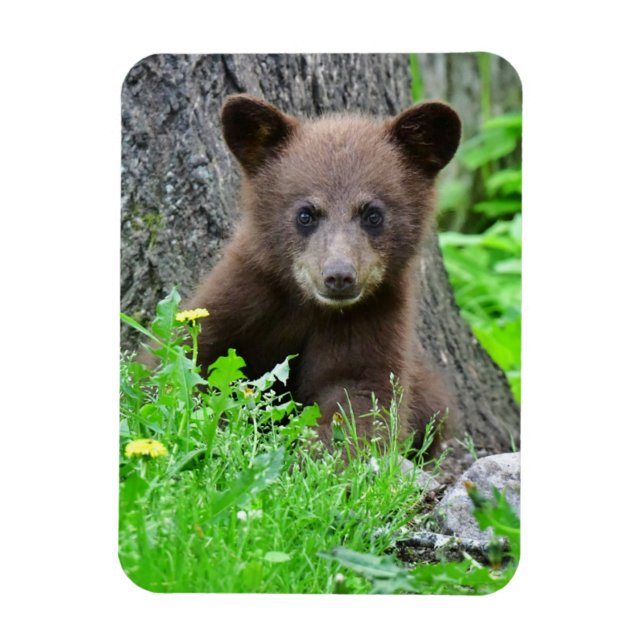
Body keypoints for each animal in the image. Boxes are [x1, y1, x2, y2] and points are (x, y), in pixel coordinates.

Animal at [183, 94, 461, 456]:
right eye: (306, 214)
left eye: (373, 214)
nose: (339, 276)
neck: (309, 306)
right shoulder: (244, 295)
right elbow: (193, 356)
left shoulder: (372, 318)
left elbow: (359, 395)